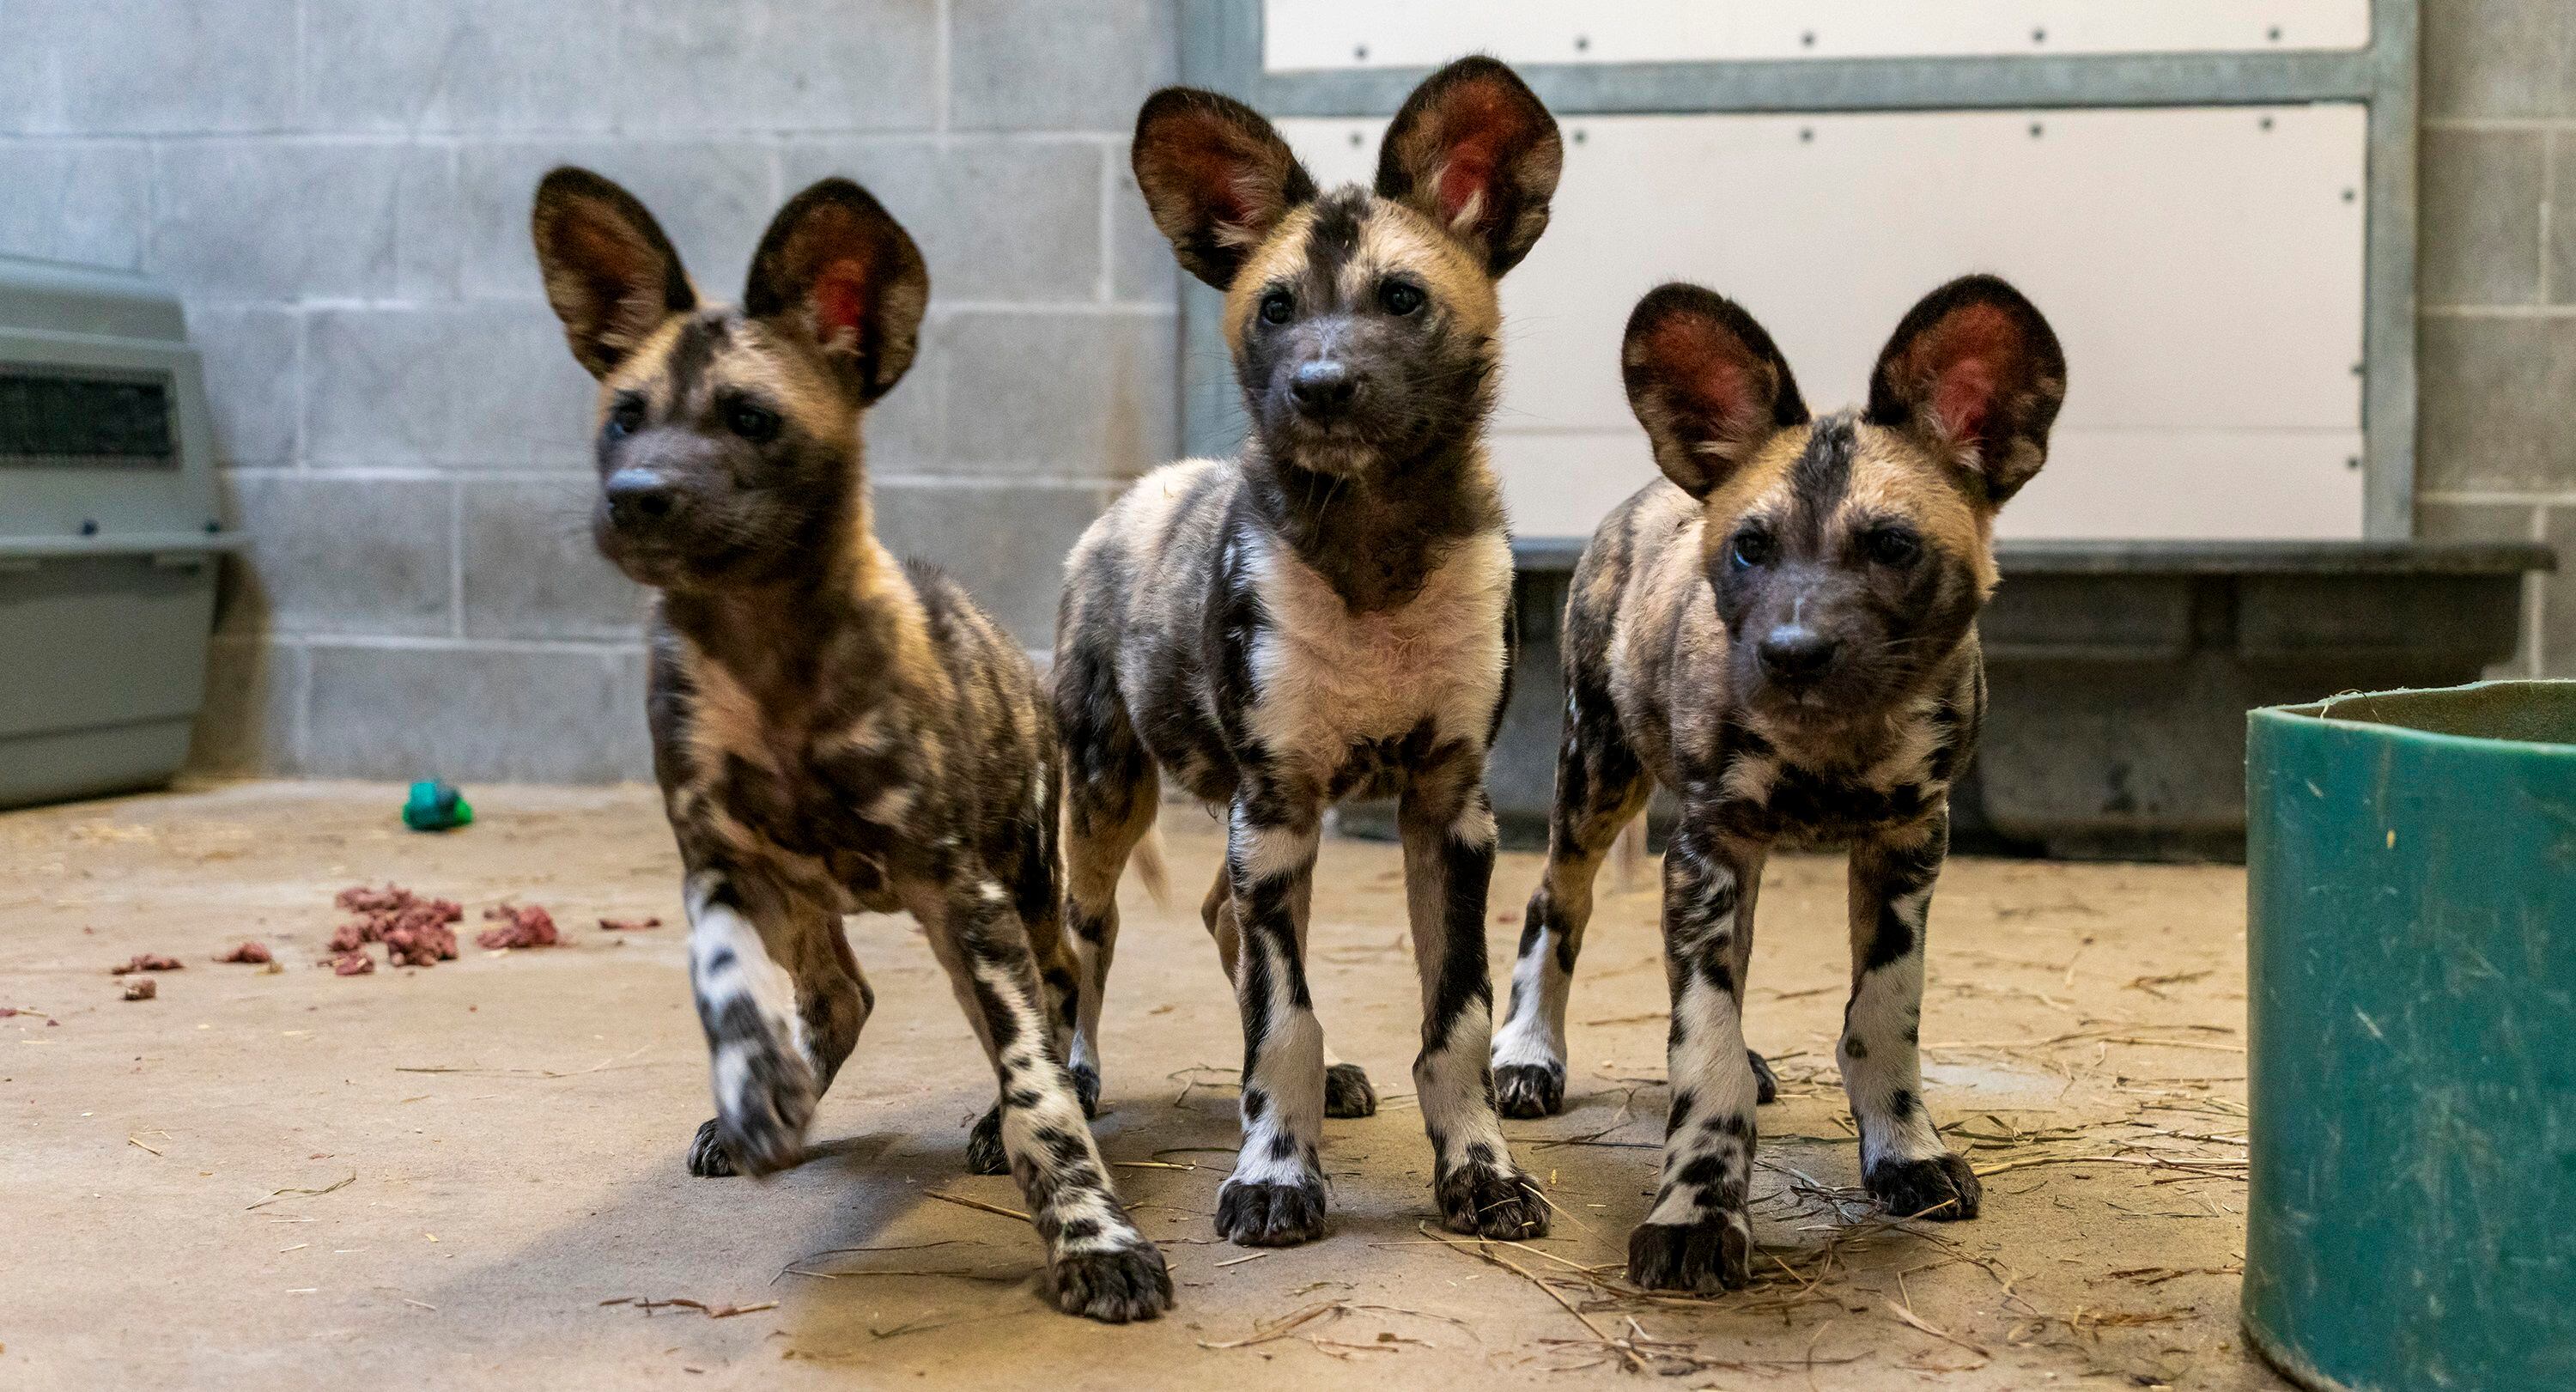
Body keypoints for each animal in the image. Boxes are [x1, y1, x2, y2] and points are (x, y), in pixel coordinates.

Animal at [533, 168, 1180, 1319]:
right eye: (623, 419)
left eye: (752, 419)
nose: (635, 498)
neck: (768, 656)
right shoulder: (721, 868)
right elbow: (727, 993)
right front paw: (754, 1093)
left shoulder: (966, 901)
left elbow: (1039, 1095)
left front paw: (1093, 1237)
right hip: (812, 901)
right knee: (842, 996)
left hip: (1027, 889)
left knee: (1061, 992)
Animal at [1051, 57, 1556, 1252]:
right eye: (1277, 308)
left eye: (1402, 299)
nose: (1320, 386)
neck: (1373, 547)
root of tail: (1133, 497)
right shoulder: (1274, 808)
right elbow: (1283, 1022)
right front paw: (1276, 1174)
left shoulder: (1446, 810)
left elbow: (1456, 1021)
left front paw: (1480, 1168)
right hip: (1110, 802)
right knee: (1087, 941)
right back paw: (1071, 1076)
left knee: (1220, 920)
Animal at [1494, 277, 2071, 1288]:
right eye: (1750, 549)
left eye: (1891, 546)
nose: (1793, 652)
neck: (1833, 743)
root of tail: (1653, 488)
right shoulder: (1707, 849)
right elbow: (1704, 1052)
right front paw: (1696, 1210)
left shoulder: (1908, 844)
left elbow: (1882, 1015)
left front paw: (1905, 1152)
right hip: (1597, 779)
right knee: (1554, 905)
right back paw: (1527, 1054)